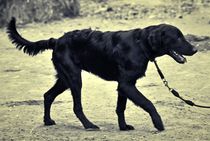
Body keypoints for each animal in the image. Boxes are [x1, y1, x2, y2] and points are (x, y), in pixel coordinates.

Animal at [6, 17, 197, 131]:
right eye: (177, 37)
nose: (195, 49)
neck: (141, 44)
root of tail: (57, 40)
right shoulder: (127, 84)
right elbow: (148, 103)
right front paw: (158, 123)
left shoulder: (124, 86)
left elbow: (121, 108)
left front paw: (123, 127)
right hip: (74, 79)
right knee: (76, 107)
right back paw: (89, 125)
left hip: (64, 79)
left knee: (48, 95)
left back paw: (47, 121)